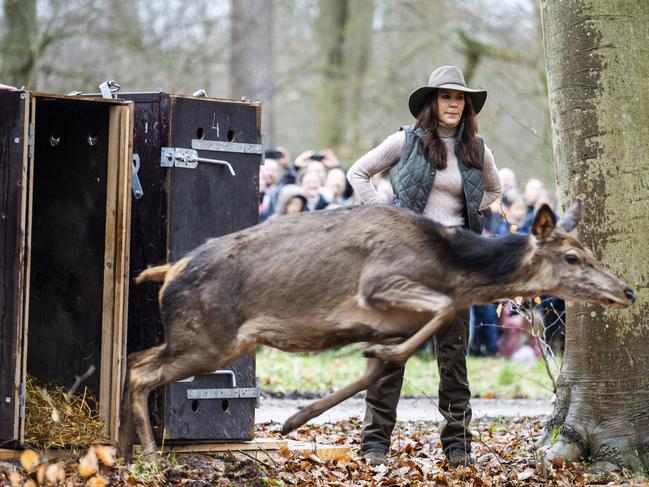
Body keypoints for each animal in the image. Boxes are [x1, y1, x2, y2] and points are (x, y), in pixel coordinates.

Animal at [119, 201, 636, 458]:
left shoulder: (387, 322)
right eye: (572, 257)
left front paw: (299, 416)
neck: (449, 266)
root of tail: (168, 270)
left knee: (133, 360)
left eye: (590, 252)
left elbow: (382, 367)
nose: (628, 290)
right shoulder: (379, 283)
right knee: (140, 373)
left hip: (201, 339)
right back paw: (151, 458)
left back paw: (124, 447)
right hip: (209, 338)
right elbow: (442, 311)